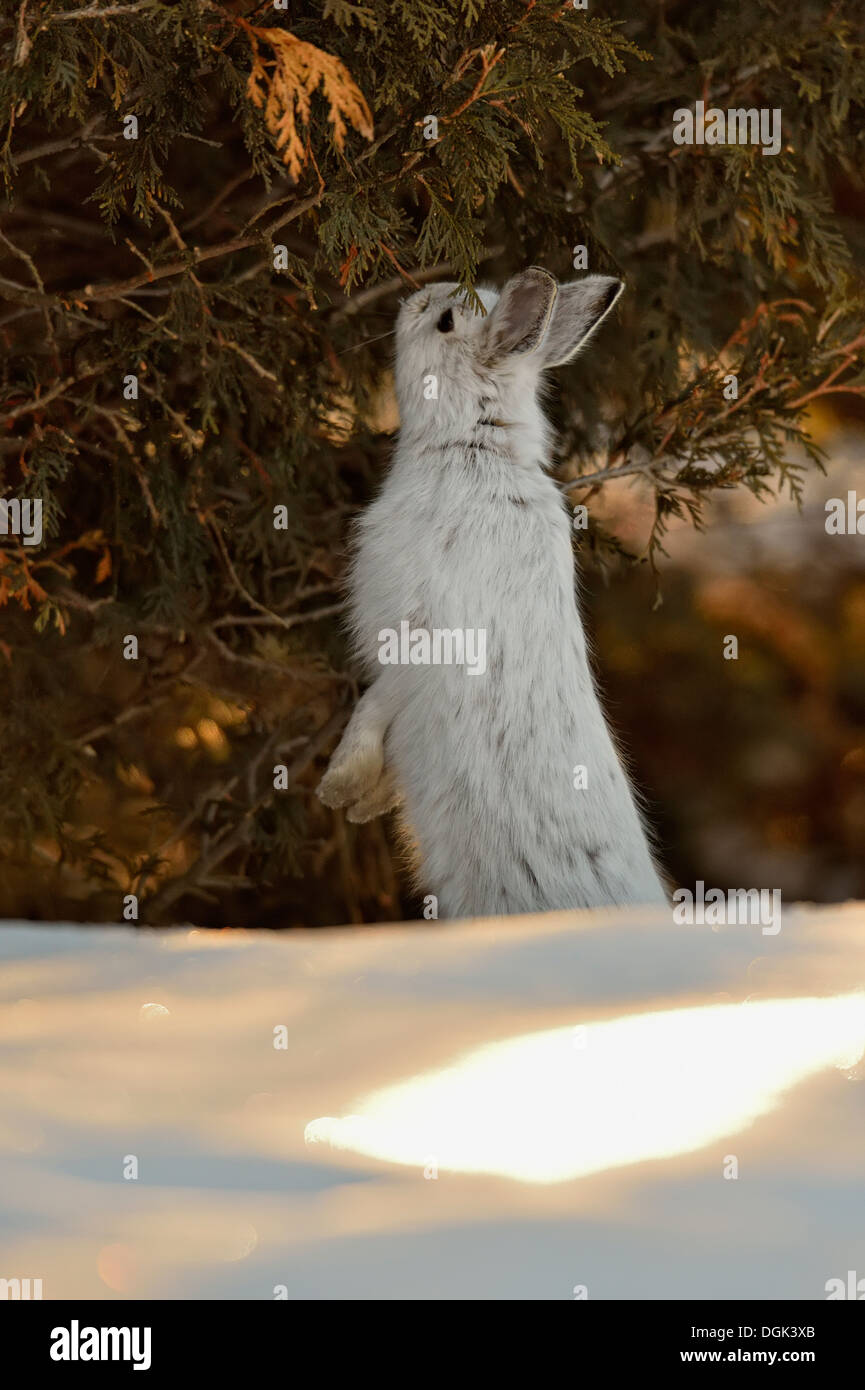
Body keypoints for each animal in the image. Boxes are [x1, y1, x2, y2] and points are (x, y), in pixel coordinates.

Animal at [317, 267, 667, 919]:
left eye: (446, 320)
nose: (410, 300)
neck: (473, 446)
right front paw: (367, 801)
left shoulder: (413, 636)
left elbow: (372, 706)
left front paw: (341, 789)